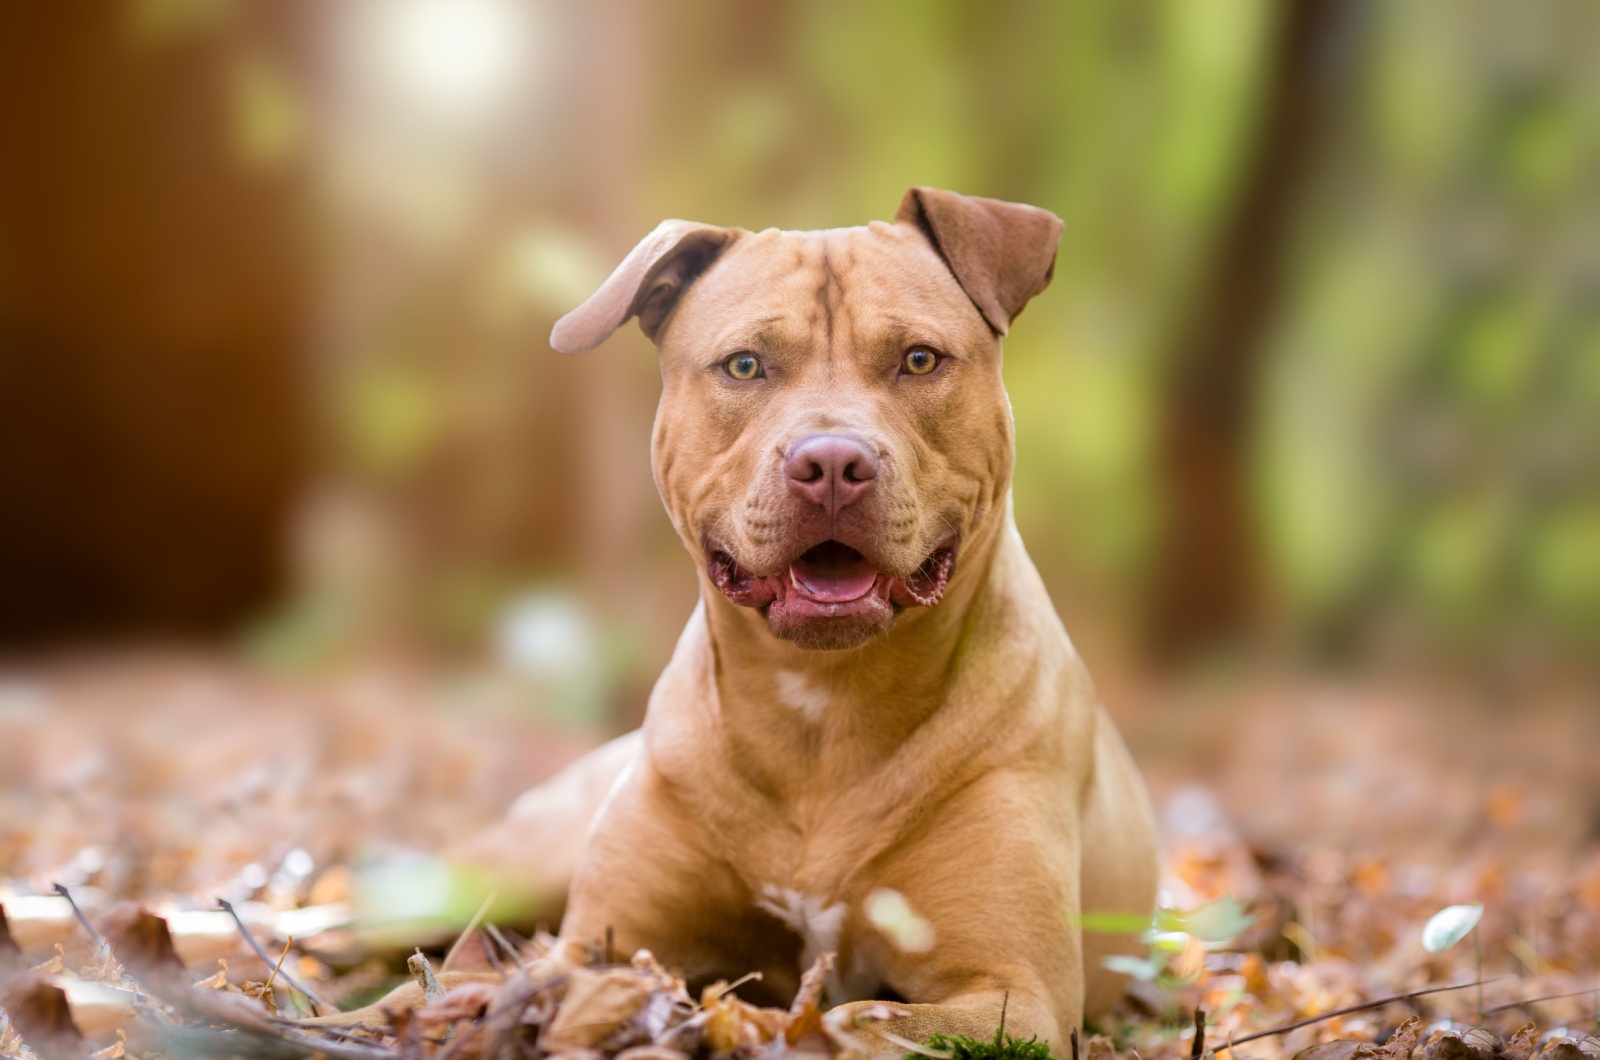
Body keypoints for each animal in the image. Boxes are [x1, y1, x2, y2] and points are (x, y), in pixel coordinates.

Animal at [457, 186, 1158, 1056]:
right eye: (744, 365)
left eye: (918, 360)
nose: (830, 463)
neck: (822, 706)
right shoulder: (599, 938)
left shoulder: (1017, 996)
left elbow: (858, 1020)